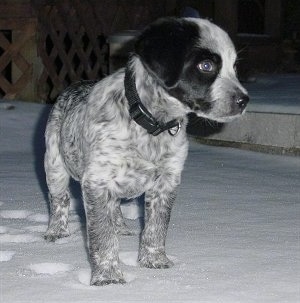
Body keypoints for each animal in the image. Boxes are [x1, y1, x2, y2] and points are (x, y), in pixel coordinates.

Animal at [42, 17, 248, 288]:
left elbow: (156, 226)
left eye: (234, 66)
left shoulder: (167, 180)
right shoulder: (97, 181)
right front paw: (107, 277)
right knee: (60, 200)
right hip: (54, 165)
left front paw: (154, 260)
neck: (152, 124)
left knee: (114, 206)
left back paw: (120, 227)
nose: (244, 100)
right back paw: (56, 232)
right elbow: (102, 235)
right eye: (206, 66)